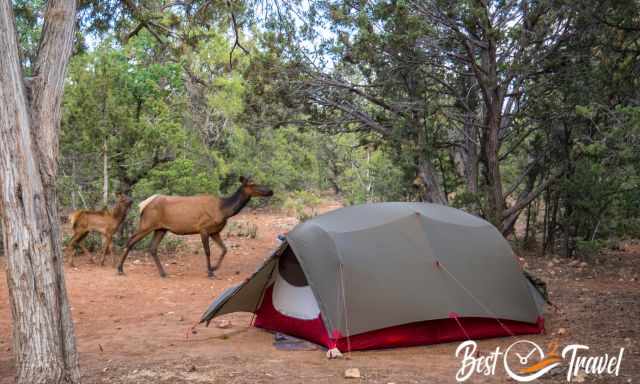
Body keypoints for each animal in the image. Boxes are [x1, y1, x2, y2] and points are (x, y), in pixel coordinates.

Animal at [117, 176, 272, 278]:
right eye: (253, 184)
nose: (271, 191)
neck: (224, 210)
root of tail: (142, 205)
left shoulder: (215, 231)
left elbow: (224, 249)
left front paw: (214, 268)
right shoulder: (203, 228)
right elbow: (208, 251)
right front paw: (210, 271)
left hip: (161, 228)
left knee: (152, 247)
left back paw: (163, 273)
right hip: (147, 224)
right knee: (130, 241)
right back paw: (120, 269)